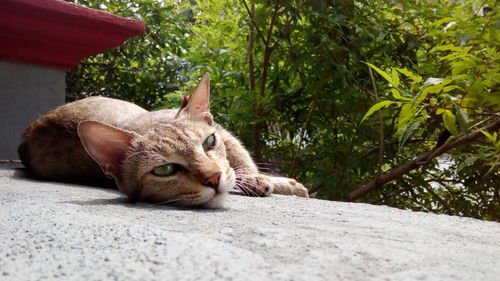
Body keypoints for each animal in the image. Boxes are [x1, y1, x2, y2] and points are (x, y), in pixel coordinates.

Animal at [18, 73, 308, 207]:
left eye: (208, 143)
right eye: (165, 170)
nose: (213, 179)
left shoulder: (224, 134)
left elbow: (242, 162)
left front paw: (268, 181)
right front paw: (273, 183)